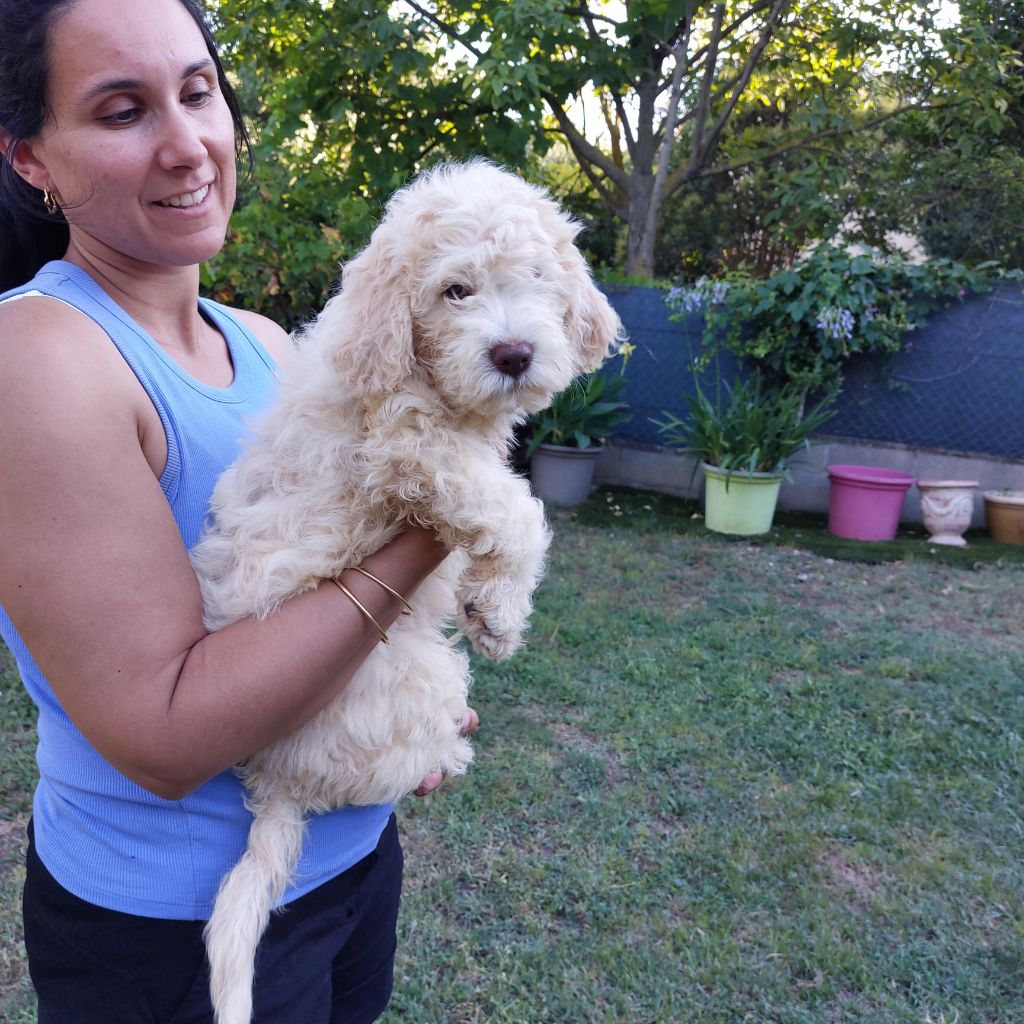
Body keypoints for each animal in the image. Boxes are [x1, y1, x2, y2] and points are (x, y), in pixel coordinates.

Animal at [192, 161, 622, 1024]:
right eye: (456, 290)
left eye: (538, 281)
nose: (515, 353)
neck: (421, 377)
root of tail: (275, 784)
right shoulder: (409, 448)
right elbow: (516, 509)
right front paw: (499, 615)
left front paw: (490, 605)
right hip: (419, 675)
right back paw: (451, 750)